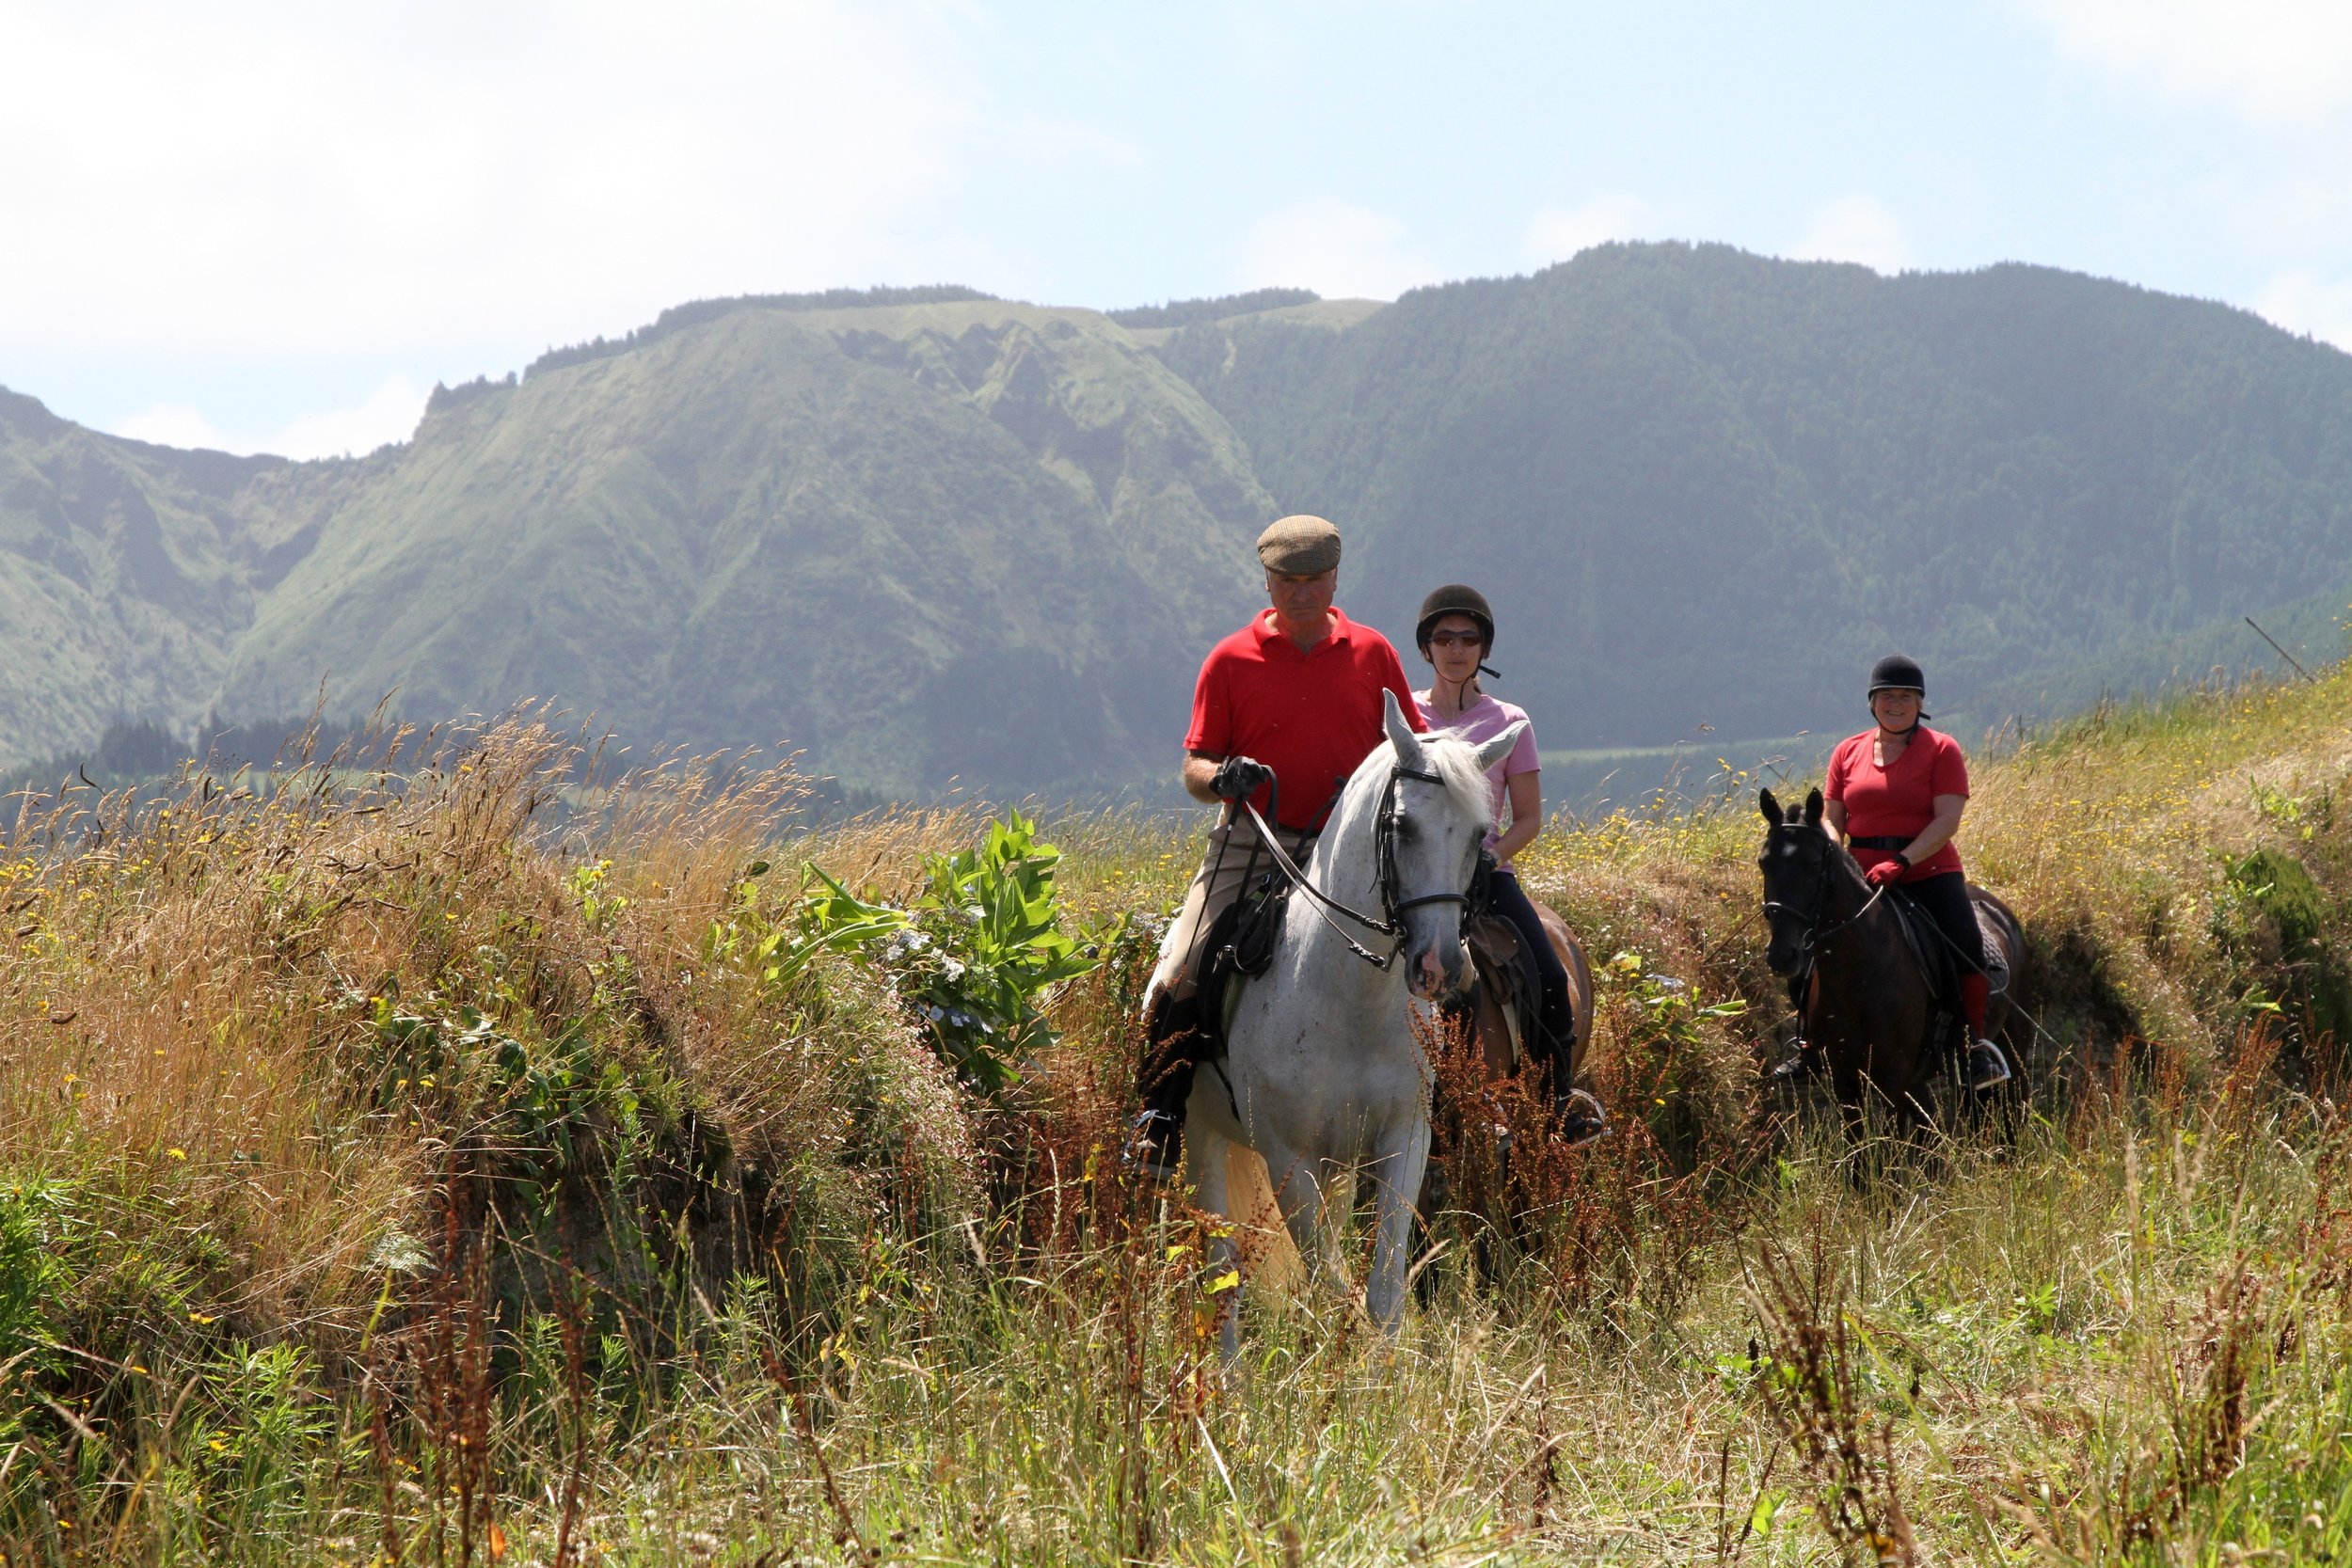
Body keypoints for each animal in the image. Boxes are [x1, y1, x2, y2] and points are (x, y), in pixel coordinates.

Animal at [1176, 690, 1524, 1354]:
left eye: (1478, 834)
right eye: (1402, 826)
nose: (1441, 967)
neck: (1348, 1000)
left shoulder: (1403, 1142)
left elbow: (1382, 1294)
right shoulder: (1288, 1159)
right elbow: (1334, 1291)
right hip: (1205, 1138)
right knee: (1220, 1277)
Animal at [1759, 784, 2032, 1142]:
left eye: (1813, 863)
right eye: (1763, 862)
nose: (1782, 955)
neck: (1857, 972)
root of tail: (2001, 912)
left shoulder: (1891, 1077)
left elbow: (1889, 1142)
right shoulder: (1845, 1077)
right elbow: (1858, 1149)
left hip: (2012, 1045)